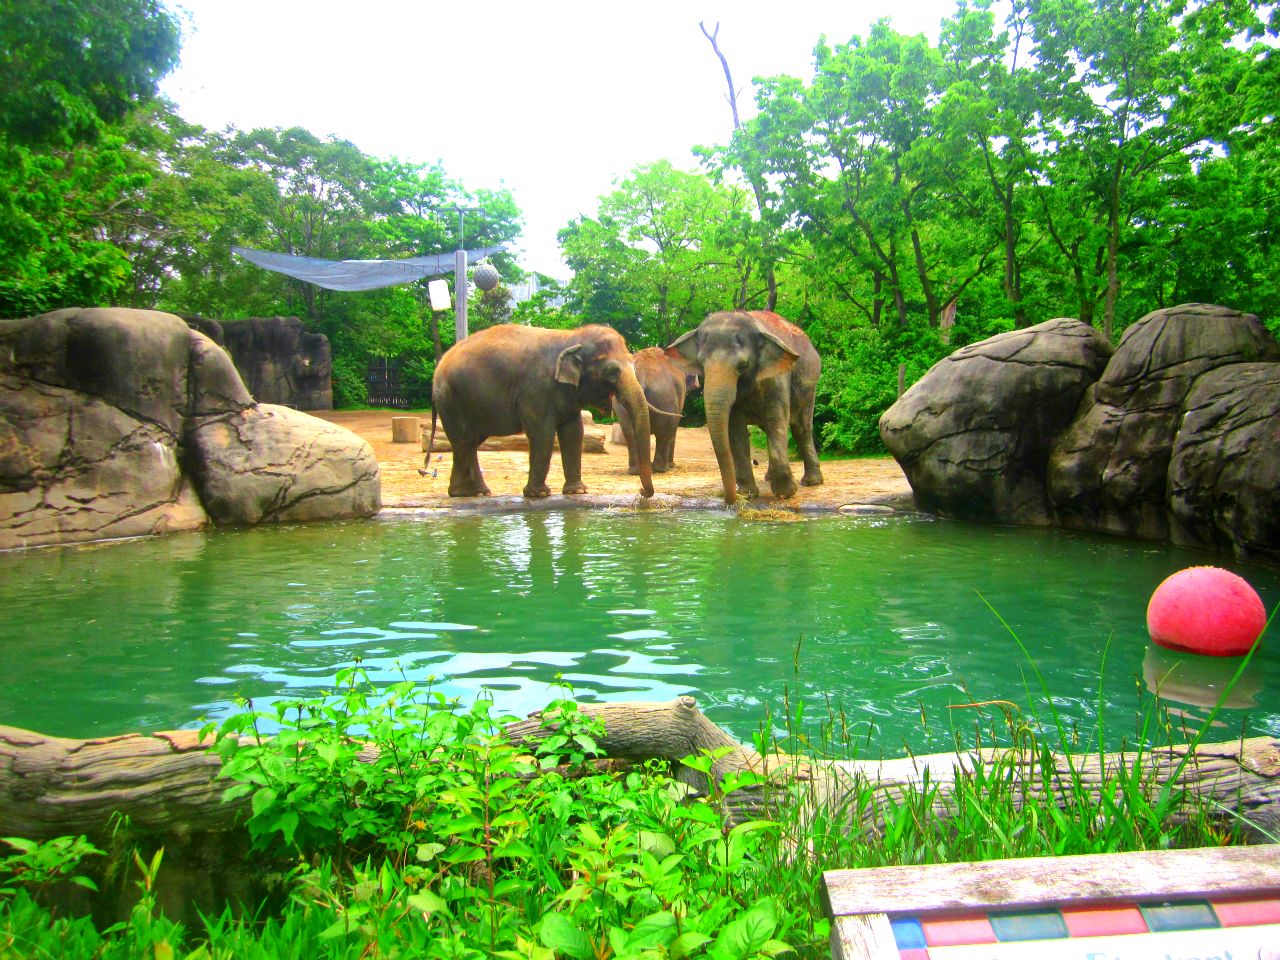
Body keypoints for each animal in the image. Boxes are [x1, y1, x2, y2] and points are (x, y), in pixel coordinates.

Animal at [427, 324, 654, 499]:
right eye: (611, 371)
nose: (641, 492)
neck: (571, 338)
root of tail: (437, 371)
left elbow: (574, 432)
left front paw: (577, 492)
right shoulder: (536, 390)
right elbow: (543, 432)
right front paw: (540, 494)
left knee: (465, 443)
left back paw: (460, 493)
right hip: (453, 400)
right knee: (465, 441)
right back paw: (479, 493)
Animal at [667, 310, 823, 505]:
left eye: (742, 366)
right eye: (701, 365)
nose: (729, 499)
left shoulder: (776, 378)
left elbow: (776, 420)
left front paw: (785, 494)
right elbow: (736, 429)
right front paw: (747, 494)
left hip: (809, 384)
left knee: (801, 428)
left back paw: (812, 482)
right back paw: (769, 478)